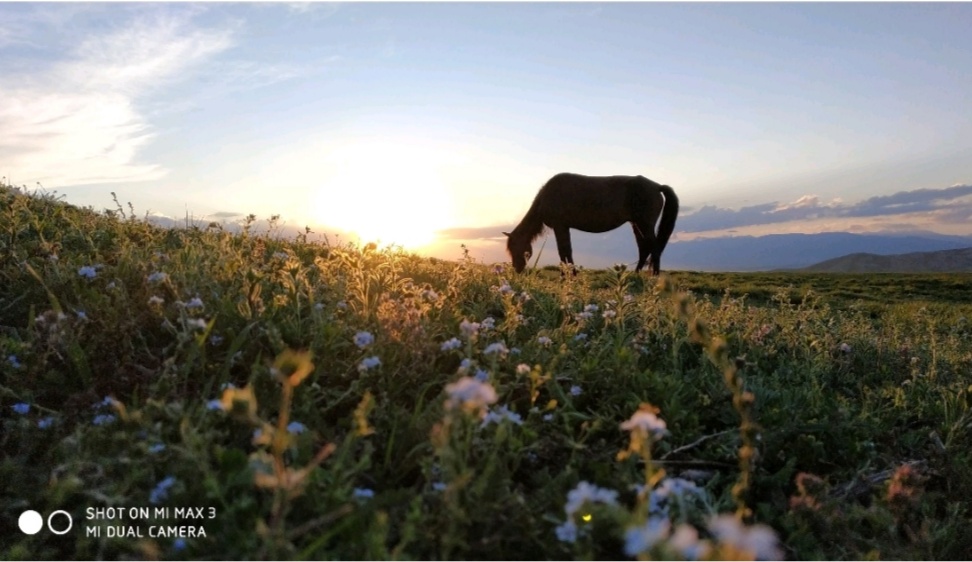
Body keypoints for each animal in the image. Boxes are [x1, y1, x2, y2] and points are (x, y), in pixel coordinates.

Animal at [504, 172, 680, 274]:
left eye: (515, 247)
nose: (517, 270)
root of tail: (657, 186)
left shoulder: (560, 227)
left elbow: (564, 251)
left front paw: (568, 276)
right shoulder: (564, 227)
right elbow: (566, 252)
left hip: (645, 225)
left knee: (654, 249)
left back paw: (654, 277)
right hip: (636, 224)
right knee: (644, 249)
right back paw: (635, 276)